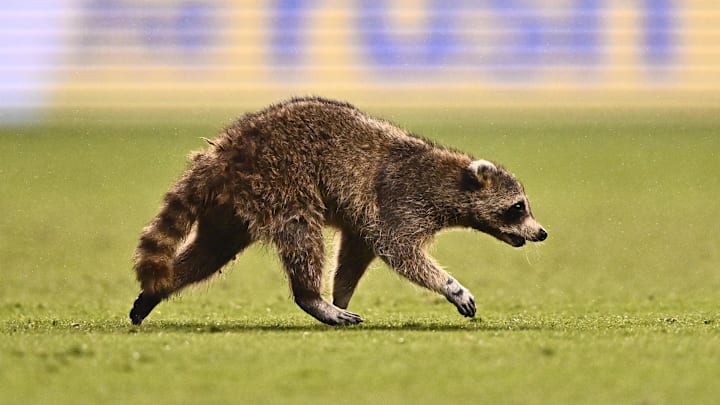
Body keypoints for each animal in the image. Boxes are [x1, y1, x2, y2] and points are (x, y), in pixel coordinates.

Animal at [130, 97, 547, 326]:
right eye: (518, 208)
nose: (541, 232)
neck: (453, 178)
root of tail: (226, 149)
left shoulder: (366, 219)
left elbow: (356, 253)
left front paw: (340, 294)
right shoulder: (403, 201)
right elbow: (398, 251)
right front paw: (450, 285)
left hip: (233, 204)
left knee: (212, 251)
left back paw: (162, 287)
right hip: (279, 179)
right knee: (302, 234)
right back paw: (311, 297)